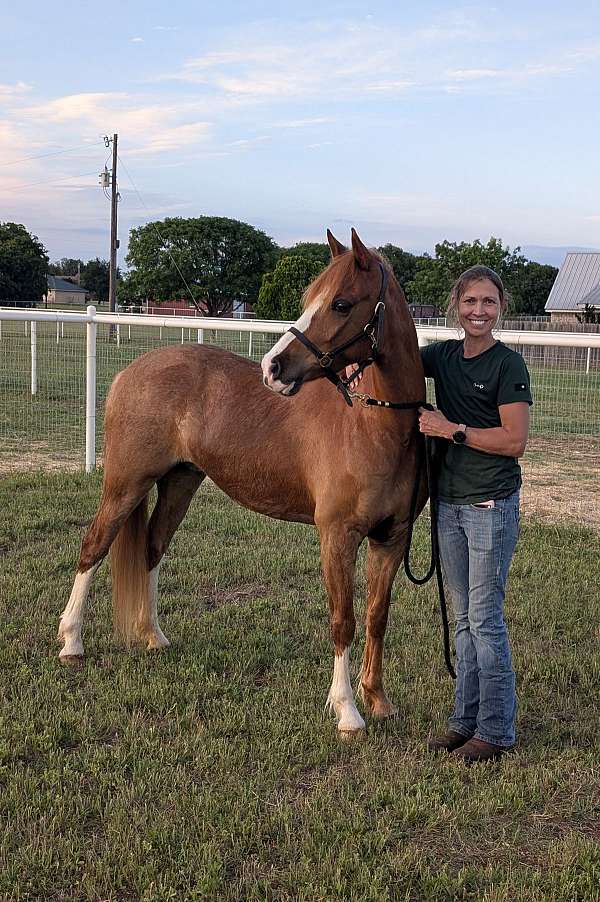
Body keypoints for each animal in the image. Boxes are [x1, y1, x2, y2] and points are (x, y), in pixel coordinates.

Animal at [58, 228, 428, 737]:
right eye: (310, 298)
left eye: (341, 303)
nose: (273, 367)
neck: (374, 426)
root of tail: (130, 372)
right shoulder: (337, 536)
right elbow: (343, 620)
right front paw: (348, 711)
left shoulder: (390, 539)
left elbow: (376, 617)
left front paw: (378, 700)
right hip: (126, 483)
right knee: (93, 546)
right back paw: (71, 642)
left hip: (180, 483)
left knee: (152, 548)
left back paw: (154, 637)